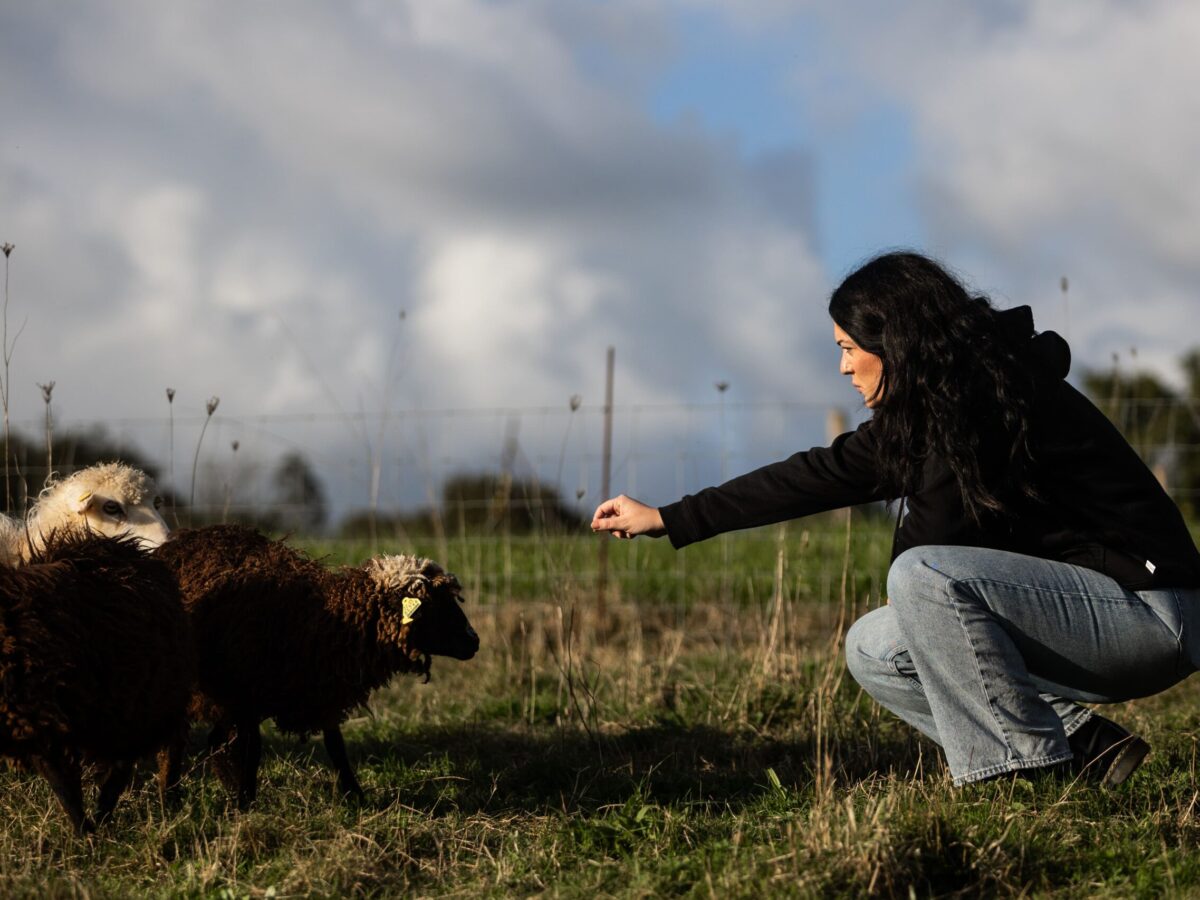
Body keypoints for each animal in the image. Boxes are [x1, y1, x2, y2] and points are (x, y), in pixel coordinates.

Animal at [155, 524, 479, 808]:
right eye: (437, 609)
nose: (474, 642)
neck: (326, 619)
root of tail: (177, 541)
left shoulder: (323, 688)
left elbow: (336, 746)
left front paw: (356, 797)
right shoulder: (249, 693)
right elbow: (253, 749)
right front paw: (246, 804)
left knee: (213, 742)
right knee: (177, 742)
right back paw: (170, 798)